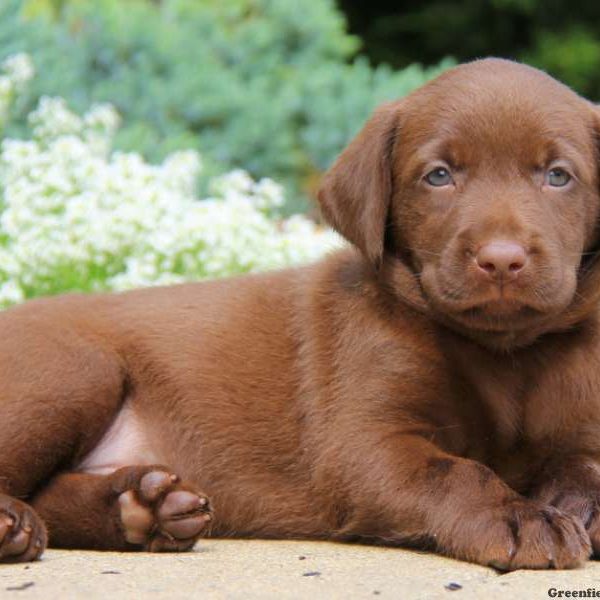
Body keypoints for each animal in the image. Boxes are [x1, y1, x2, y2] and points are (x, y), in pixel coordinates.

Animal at [1, 58, 600, 568]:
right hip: (74, 370)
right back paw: (19, 525)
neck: (504, 354)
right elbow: (457, 473)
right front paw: (520, 516)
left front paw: (579, 504)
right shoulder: (364, 444)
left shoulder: (580, 425)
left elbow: (584, 464)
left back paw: (141, 508)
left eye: (558, 175)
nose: (501, 259)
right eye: (438, 175)